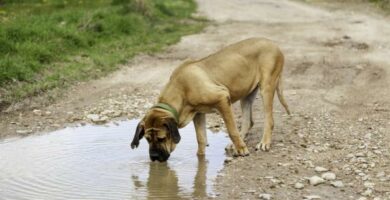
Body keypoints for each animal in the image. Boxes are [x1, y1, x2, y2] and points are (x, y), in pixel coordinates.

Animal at [131, 37, 290, 162]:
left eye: (162, 138)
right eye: (147, 139)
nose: (154, 157)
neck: (181, 90)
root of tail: (274, 44)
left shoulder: (222, 98)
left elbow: (231, 129)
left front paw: (242, 150)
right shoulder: (198, 114)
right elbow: (201, 138)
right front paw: (200, 158)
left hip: (266, 87)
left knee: (269, 119)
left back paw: (263, 142)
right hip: (247, 94)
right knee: (248, 121)